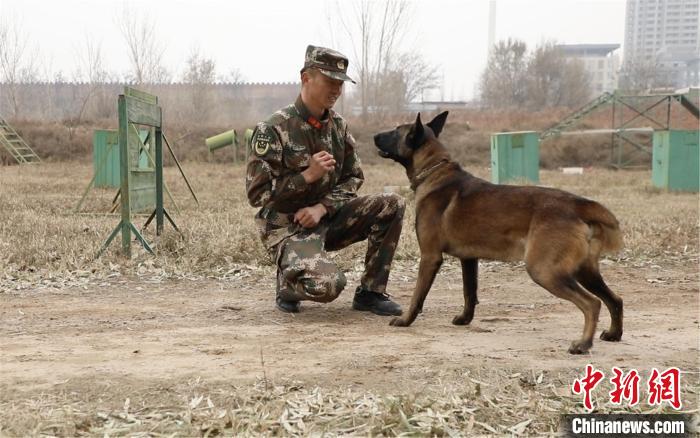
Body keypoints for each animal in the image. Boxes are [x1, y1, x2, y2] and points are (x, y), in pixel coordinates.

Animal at [374, 111, 628, 354]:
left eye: (395, 131)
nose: (374, 136)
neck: (435, 172)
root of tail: (578, 204)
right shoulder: (469, 259)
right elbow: (469, 292)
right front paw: (465, 319)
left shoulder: (430, 257)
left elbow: (418, 295)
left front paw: (406, 320)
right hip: (584, 271)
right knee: (615, 299)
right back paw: (613, 334)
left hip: (545, 271)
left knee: (592, 303)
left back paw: (583, 344)